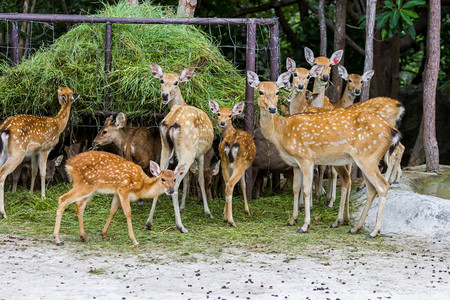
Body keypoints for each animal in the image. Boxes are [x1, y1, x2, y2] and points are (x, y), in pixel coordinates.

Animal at [0, 86, 78, 218]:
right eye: (65, 91)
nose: (58, 87)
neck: (57, 125)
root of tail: (5, 127)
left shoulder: (34, 152)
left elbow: (34, 171)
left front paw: (31, 193)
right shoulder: (45, 148)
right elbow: (42, 172)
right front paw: (43, 197)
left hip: (4, 153)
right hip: (17, 151)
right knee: (2, 173)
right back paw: (4, 213)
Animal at [53, 151, 185, 245]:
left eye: (174, 179)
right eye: (163, 179)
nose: (171, 190)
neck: (142, 186)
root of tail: (69, 164)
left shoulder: (116, 192)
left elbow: (113, 210)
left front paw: (104, 234)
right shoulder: (124, 189)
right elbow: (128, 212)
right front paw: (134, 240)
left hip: (88, 188)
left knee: (79, 205)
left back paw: (83, 236)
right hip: (84, 185)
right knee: (63, 199)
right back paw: (58, 239)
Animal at [146, 62, 213, 232]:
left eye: (176, 82)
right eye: (161, 80)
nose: (164, 95)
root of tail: (172, 122)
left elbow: (188, 178)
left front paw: (183, 207)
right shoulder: (200, 154)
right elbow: (200, 179)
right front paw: (207, 212)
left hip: (165, 148)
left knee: (160, 177)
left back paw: (149, 223)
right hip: (189, 148)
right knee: (175, 186)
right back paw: (181, 226)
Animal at [250, 69, 400, 237]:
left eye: (276, 92)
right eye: (260, 91)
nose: (272, 109)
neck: (283, 132)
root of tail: (392, 130)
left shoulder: (306, 158)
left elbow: (306, 189)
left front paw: (305, 225)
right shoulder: (295, 163)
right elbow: (295, 188)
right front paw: (292, 219)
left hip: (367, 156)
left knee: (382, 186)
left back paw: (373, 231)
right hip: (365, 159)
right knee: (371, 189)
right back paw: (355, 227)